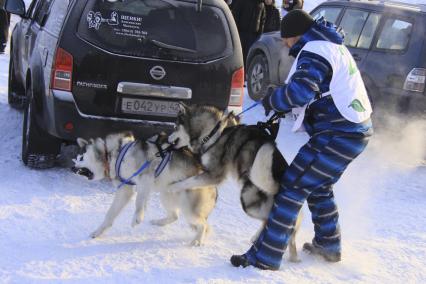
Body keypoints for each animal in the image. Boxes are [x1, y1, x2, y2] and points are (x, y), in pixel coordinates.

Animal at [72, 132, 216, 245]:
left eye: (81, 157)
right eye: (76, 158)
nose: (72, 168)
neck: (111, 154)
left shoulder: (145, 176)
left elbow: (139, 201)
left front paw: (137, 217)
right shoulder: (126, 189)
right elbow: (110, 214)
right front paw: (98, 231)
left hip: (188, 207)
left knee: (203, 224)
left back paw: (197, 240)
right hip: (166, 194)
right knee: (175, 216)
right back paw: (159, 222)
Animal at [168, 105, 302, 262]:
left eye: (175, 127)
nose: (169, 139)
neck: (214, 132)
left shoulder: (214, 175)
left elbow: (187, 182)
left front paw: (172, 187)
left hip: (248, 199)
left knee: (269, 220)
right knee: (278, 226)